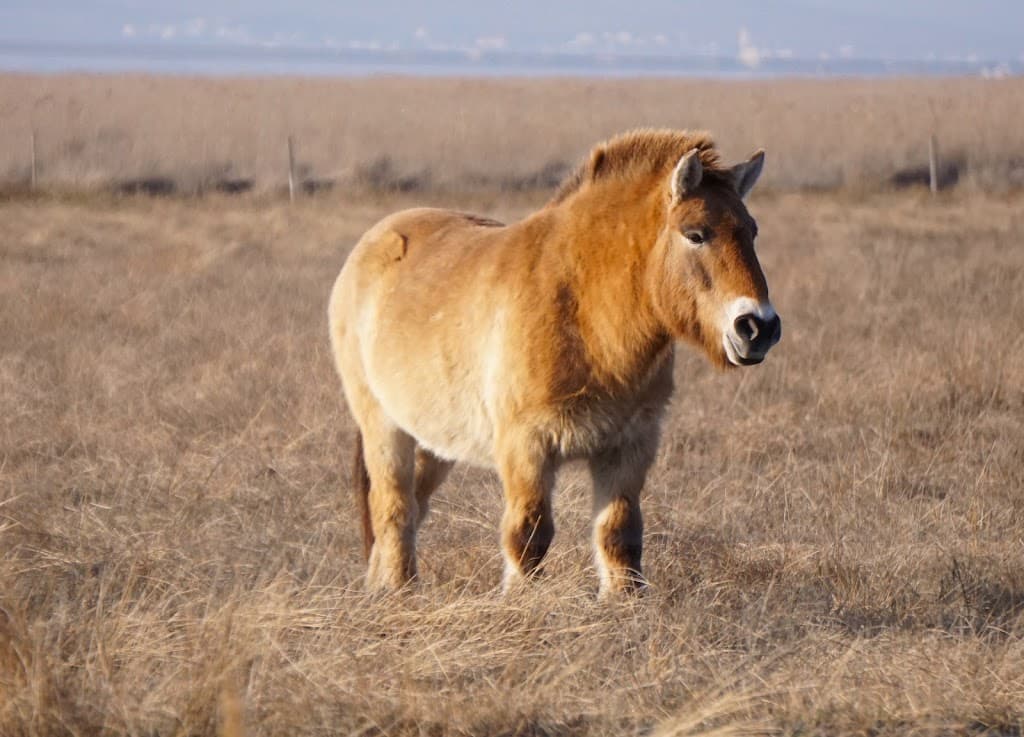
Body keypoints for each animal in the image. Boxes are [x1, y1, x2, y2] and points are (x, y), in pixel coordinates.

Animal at [328, 129, 781, 596]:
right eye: (696, 234)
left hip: (434, 440)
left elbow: (619, 533)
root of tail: (375, 240)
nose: (758, 327)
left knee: (411, 507)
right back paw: (402, 592)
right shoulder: (527, 447)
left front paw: (624, 601)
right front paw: (522, 601)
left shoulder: (629, 445)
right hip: (384, 427)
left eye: (751, 232)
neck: (584, 313)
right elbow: (529, 534)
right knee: (394, 508)